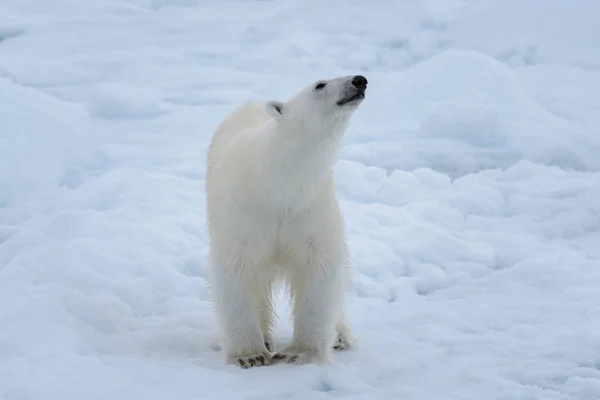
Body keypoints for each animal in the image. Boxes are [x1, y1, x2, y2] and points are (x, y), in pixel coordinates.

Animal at [205, 75, 366, 368]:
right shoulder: (245, 212)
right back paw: (266, 338)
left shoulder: (309, 207)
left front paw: (300, 352)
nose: (360, 80)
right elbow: (235, 268)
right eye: (320, 84)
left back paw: (340, 335)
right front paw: (249, 355)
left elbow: (321, 267)